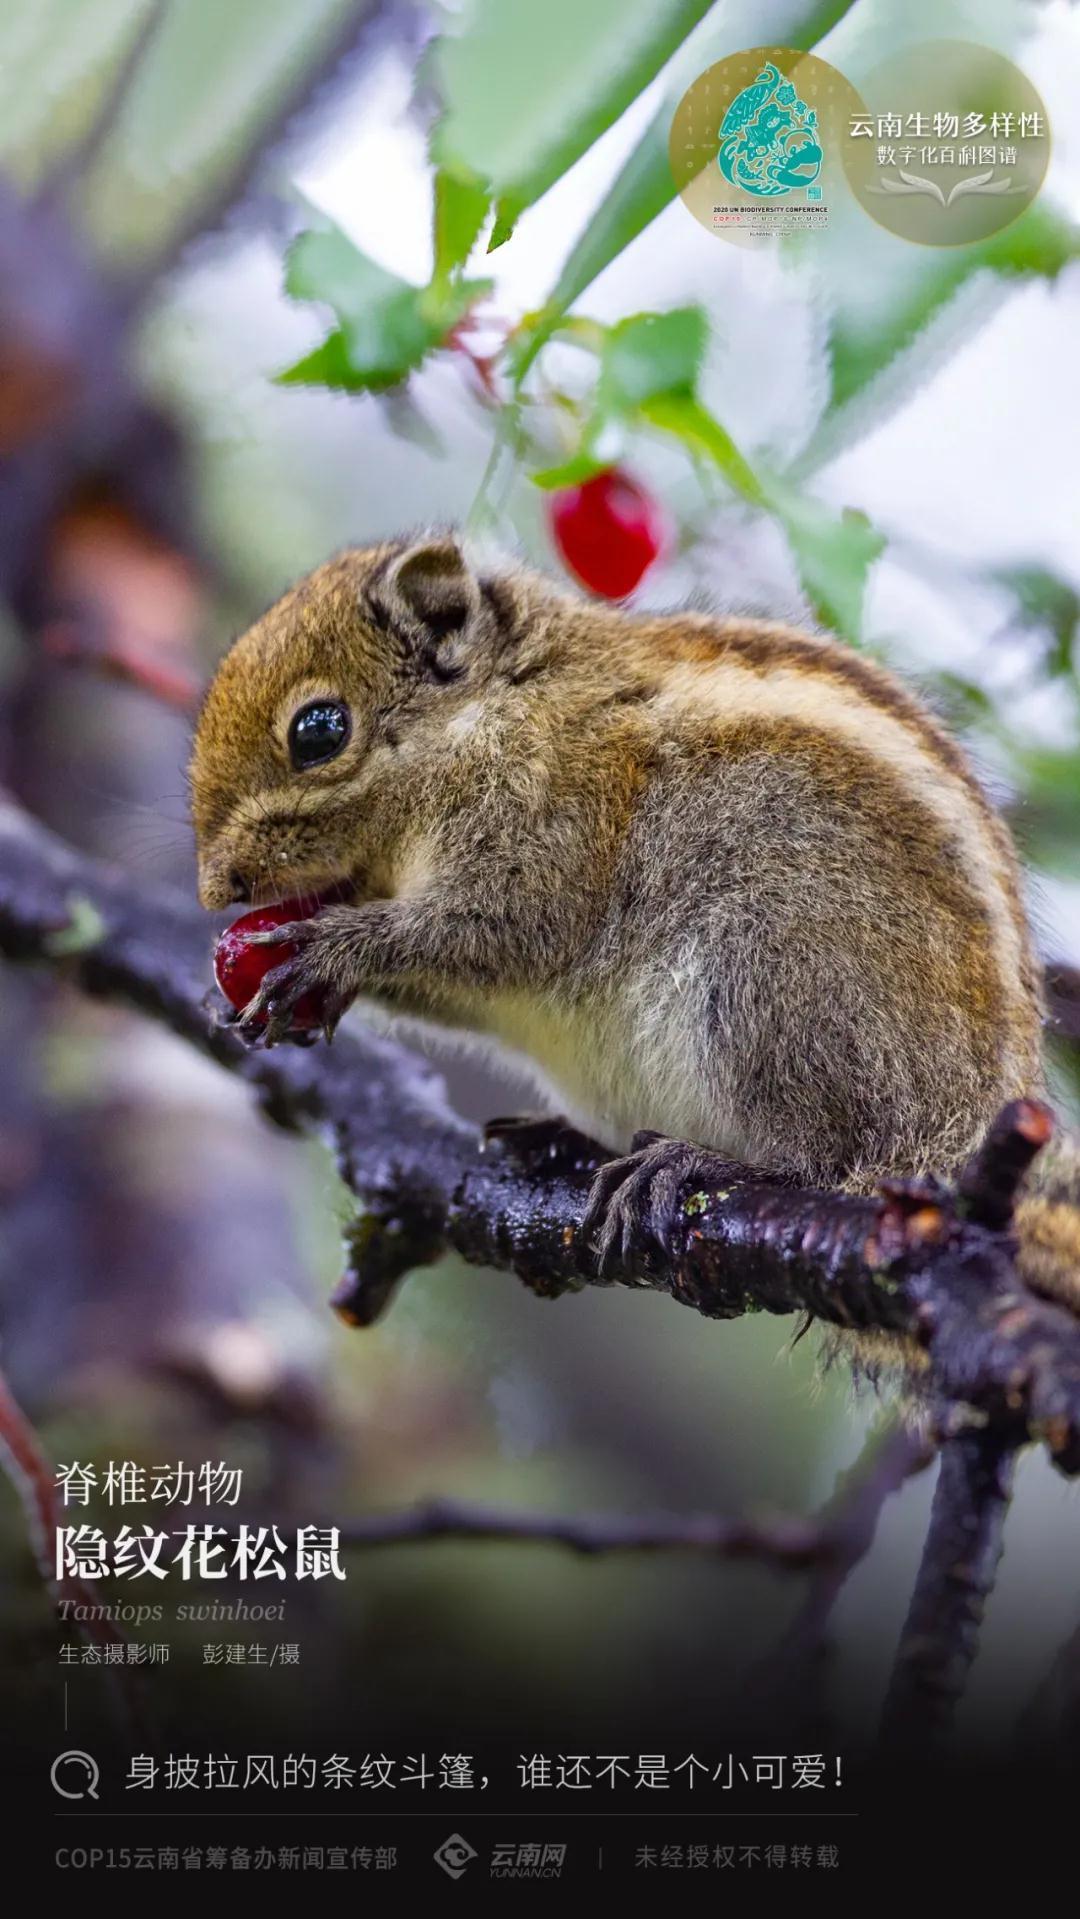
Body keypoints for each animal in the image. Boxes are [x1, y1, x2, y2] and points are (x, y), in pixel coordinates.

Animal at [189, 529, 1080, 1335]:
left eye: (319, 730)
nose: (214, 887)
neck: (489, 711)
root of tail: (967, 1125)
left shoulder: (549, 824)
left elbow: (501, 934)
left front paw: (327, 951)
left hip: (778, 972)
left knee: (828, 1158)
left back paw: (693, 1160)